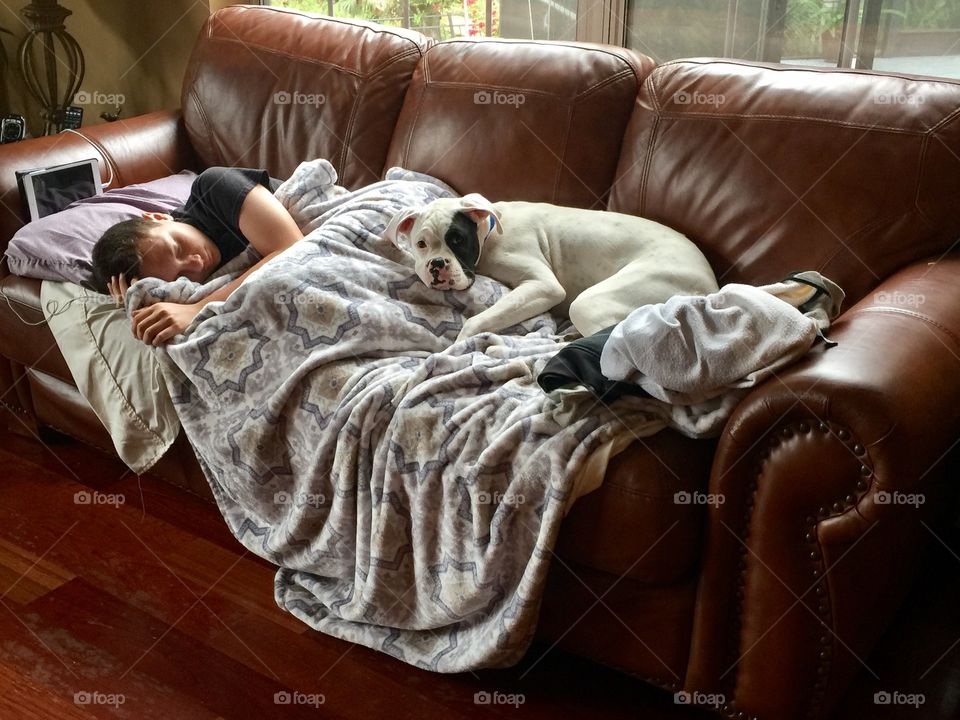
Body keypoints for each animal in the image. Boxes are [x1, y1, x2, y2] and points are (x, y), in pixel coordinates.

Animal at [386, 194, 716, 344]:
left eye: (457, 240)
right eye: (421, 244)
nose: (437, 265)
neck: (490, 234)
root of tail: (710, 287)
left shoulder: (543, 286)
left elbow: (476, 321)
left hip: (592, 302)